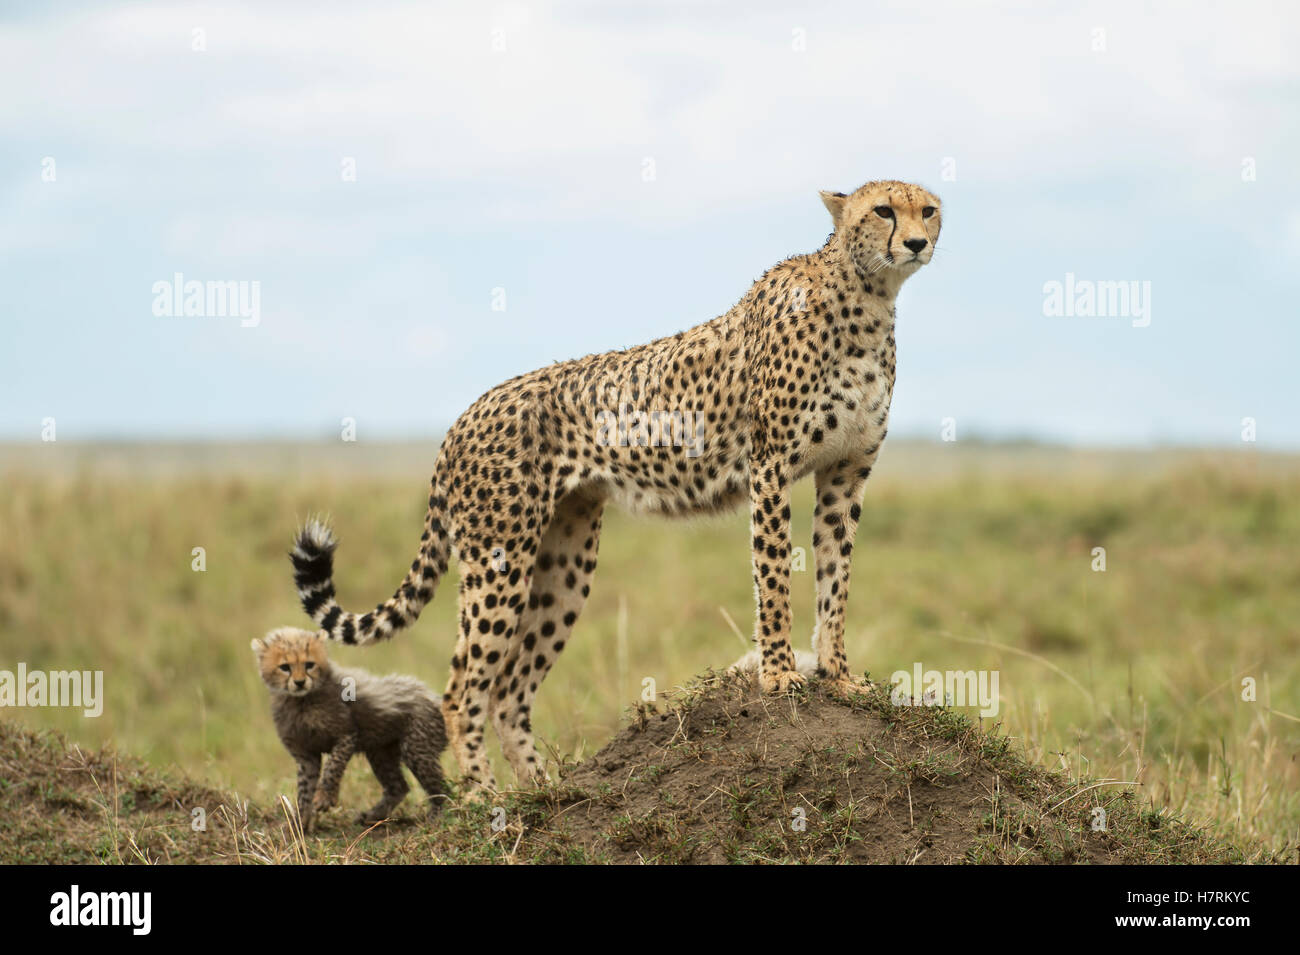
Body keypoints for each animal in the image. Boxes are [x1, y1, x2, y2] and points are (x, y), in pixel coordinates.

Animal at [293, 179, 941, 789]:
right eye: (884, 211)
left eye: (928, 210)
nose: (916, 243)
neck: (868, 296)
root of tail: (467, 412)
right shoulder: (772, 467)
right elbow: (775, 576)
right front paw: (780, 675)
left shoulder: (846, 474)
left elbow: (836, 580)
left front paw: (839, 676)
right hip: (499, 559)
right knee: (463, 689)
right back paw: (486, 799)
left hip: (564, 560)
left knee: (509, 690)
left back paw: (543, 792)